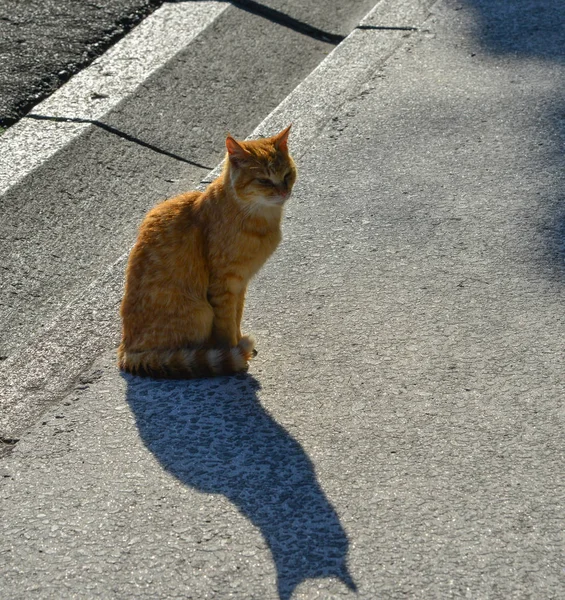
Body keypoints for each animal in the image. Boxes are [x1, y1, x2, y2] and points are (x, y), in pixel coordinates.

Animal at [117, 125, 298, 380]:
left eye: (287, 175)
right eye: (264, 180)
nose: (283, 192)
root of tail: (126, 351)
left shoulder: (240, 284)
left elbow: (236, 317)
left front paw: (237, 344)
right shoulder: (223, 285)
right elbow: (226, 325)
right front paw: (233, 353)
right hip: (201, 313)